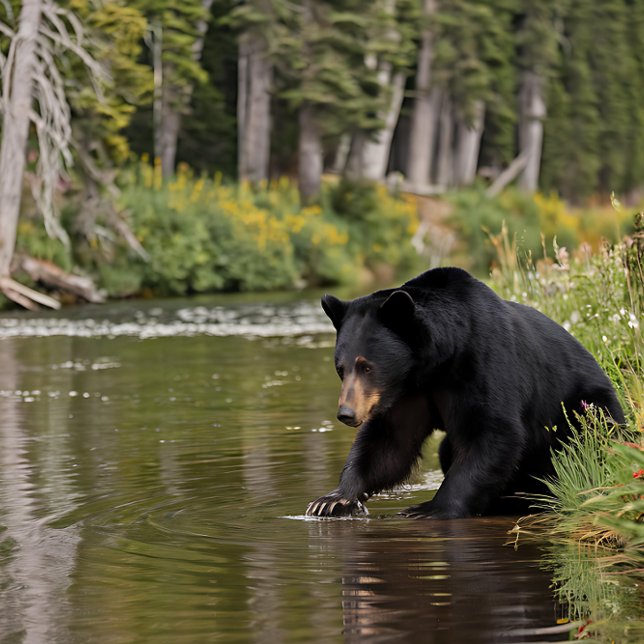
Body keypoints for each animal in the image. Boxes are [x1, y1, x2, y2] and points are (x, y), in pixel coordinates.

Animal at [305, 267, 624, 519]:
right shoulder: (407, 393)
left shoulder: (483, 362)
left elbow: (493, 432)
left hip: (585, 408)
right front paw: (332, 499)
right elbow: (390, 443)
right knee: (446, 448)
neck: (435, 363)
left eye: (366, 366)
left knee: (586, 440)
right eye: (341, 368)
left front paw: (429, 508)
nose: (346, 413)